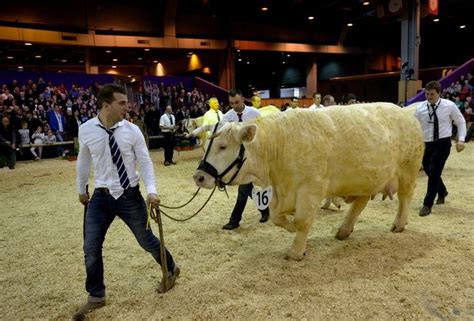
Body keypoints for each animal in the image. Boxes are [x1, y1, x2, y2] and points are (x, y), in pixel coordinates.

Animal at [194, 103, 424, 260]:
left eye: (223, 146)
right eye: (205, 146)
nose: (199, 176)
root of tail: (405, 111)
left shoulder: (311, 189)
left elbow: (303, 220)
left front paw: (296, 251)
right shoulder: (281, 191)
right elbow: (276, 217)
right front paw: (290, 229)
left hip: (408, 171)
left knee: (405, 197)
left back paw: (398, 224)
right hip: (366, 178)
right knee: (360, 202)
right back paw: (344, 230)